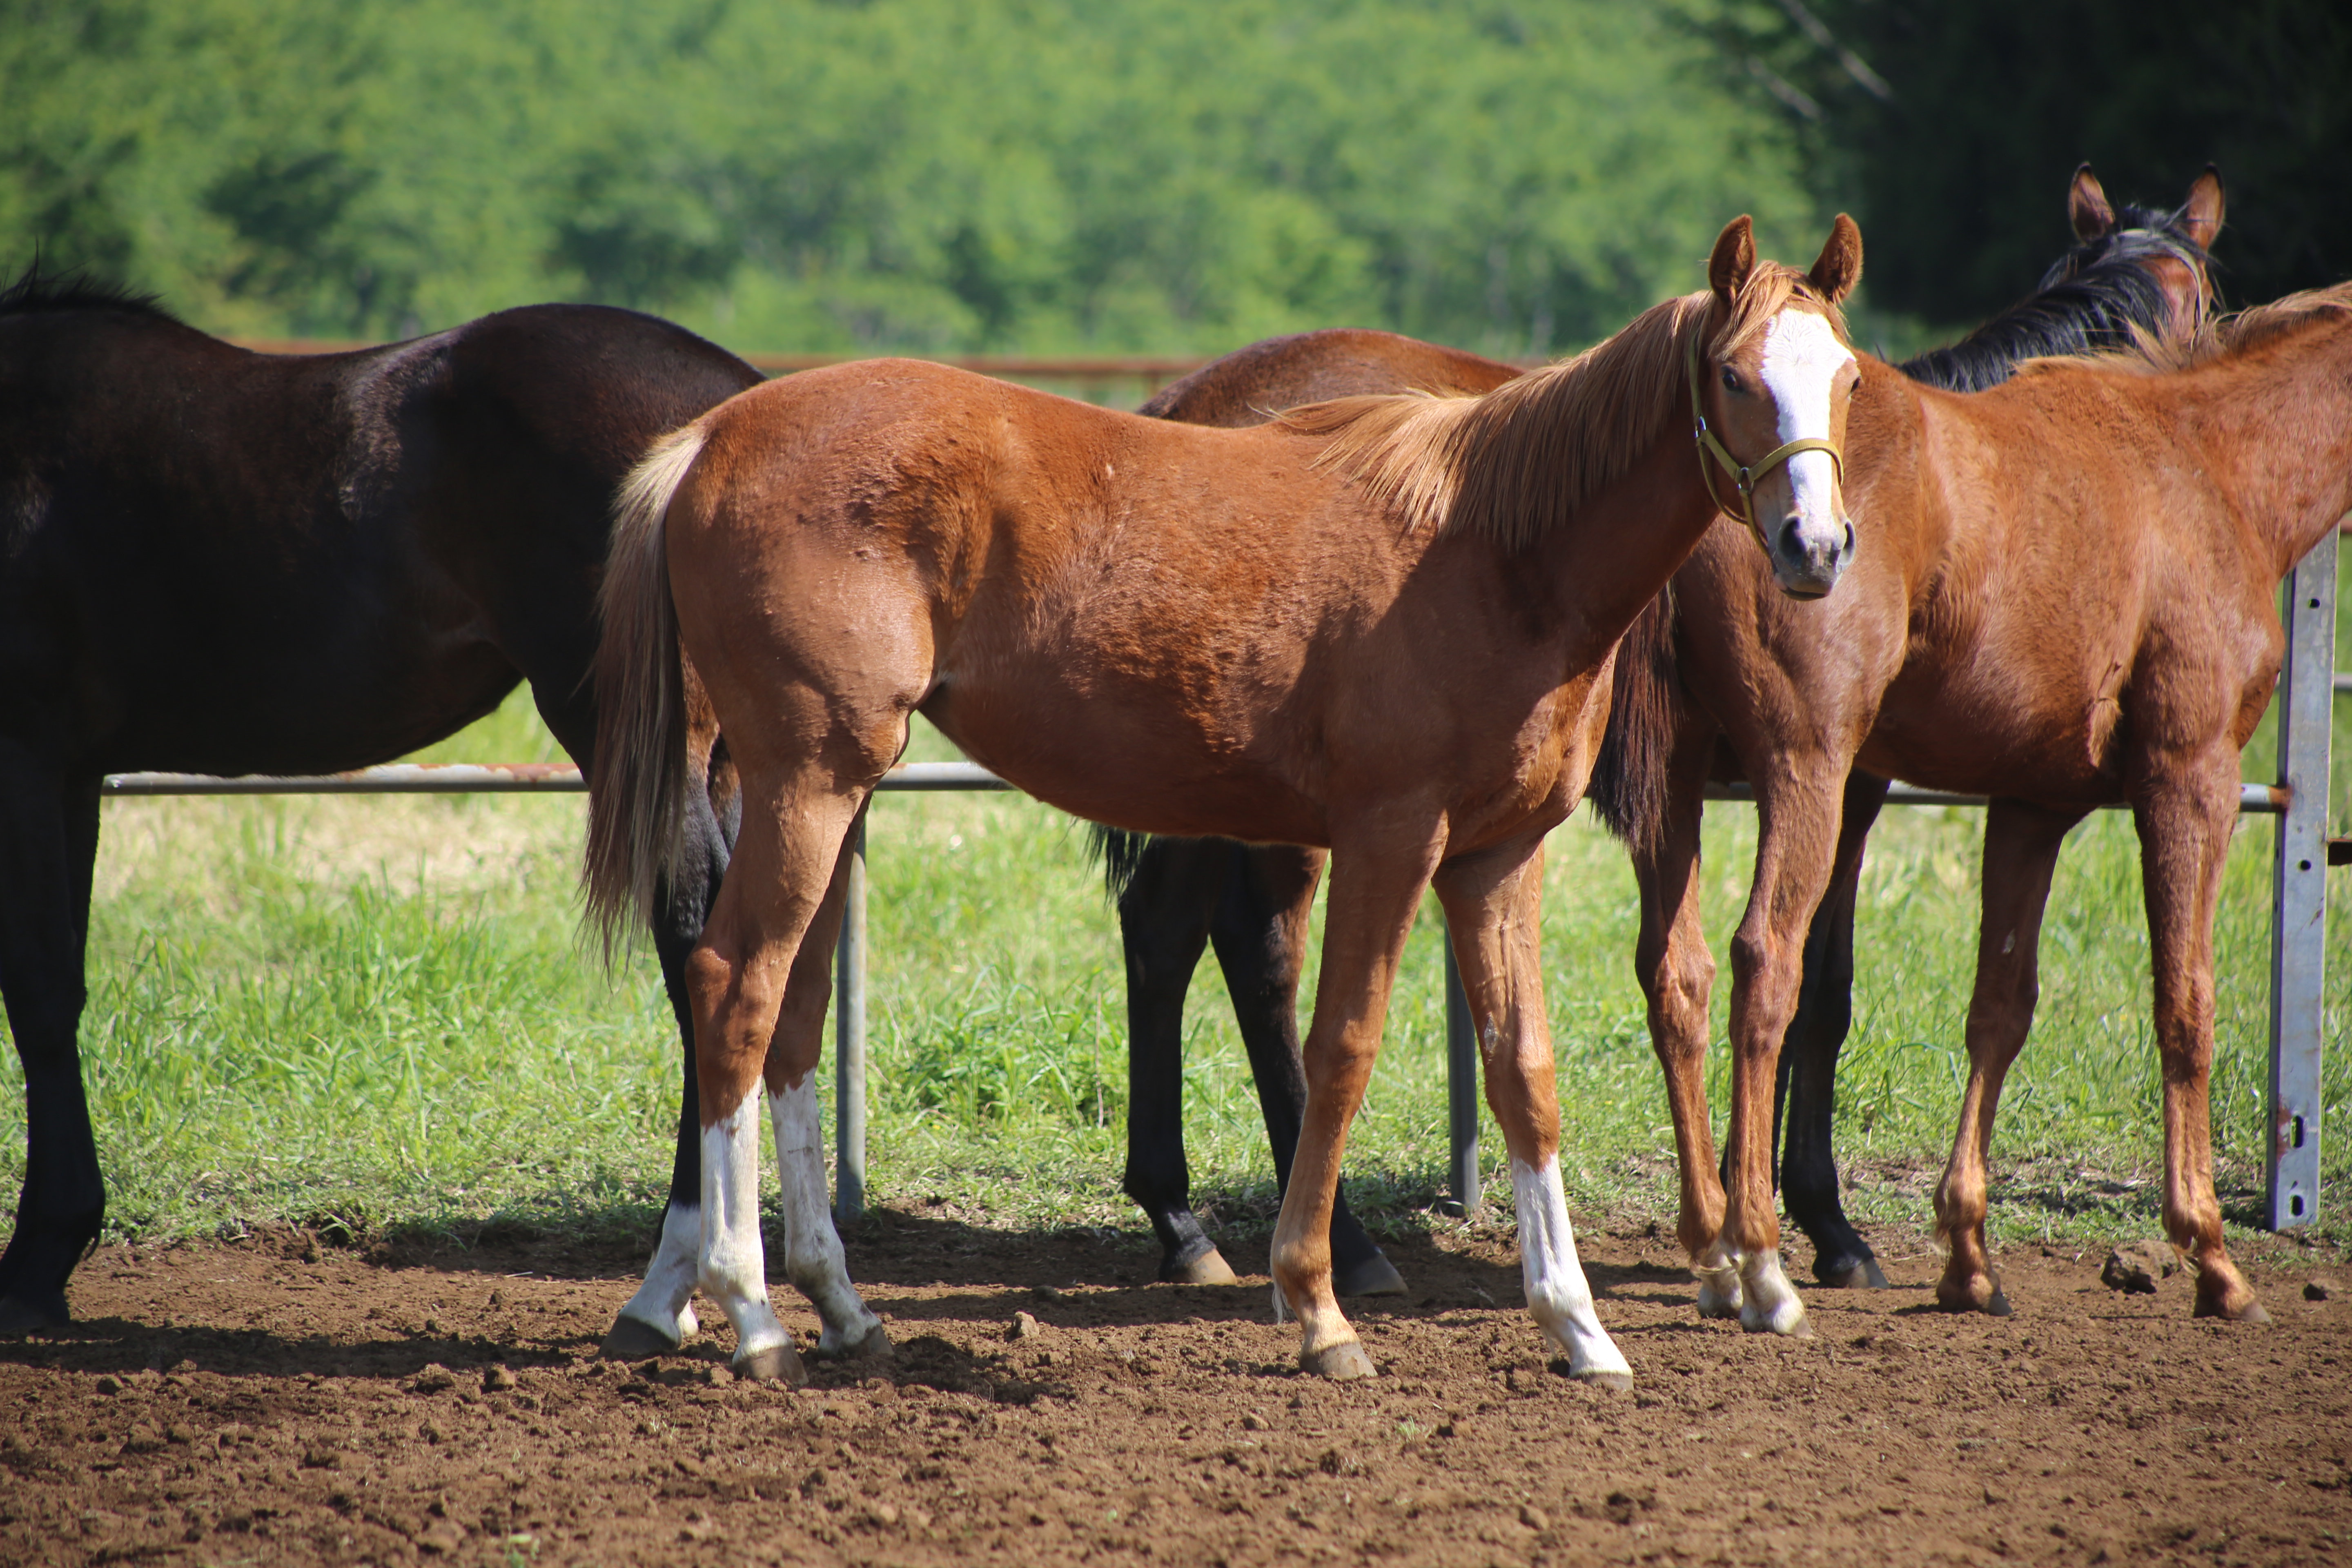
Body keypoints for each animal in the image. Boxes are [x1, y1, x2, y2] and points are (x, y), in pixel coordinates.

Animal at [0, 272, 757, 1335]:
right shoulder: (73, 773)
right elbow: (62, 980)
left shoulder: (23, 751)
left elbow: (35, 990)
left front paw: (37, 1259)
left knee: (698, 950)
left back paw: (675, 1279)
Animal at [592, 212, 1872, 1382]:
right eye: (1734, 376)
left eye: (1849, 377)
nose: (1814, 546)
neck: (1494, 551)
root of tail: (709, 439)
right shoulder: (1388, 839)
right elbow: (1342, 1044)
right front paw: (1317, 1306)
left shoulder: (1497, 856)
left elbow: (1523, 1071)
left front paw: (1578, 1325)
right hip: (809, 784)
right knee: (735, 987)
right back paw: (749, 1309)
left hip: (832, 789)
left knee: (793, 1015)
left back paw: (834, 1303)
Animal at [1599, 227, 2333, 1335]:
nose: (1815, 542)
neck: (2206, 468)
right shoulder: (2189, 778)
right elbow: (2186, 1004)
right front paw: (2209, 1255)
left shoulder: (2034, 803)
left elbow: (1999, 1006)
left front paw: (1967, 1256)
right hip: (1803, 771)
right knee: (1762, 963)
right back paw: (1758, 1256)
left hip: (1680, 788)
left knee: (1677, 973)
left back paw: (1714, 1247)